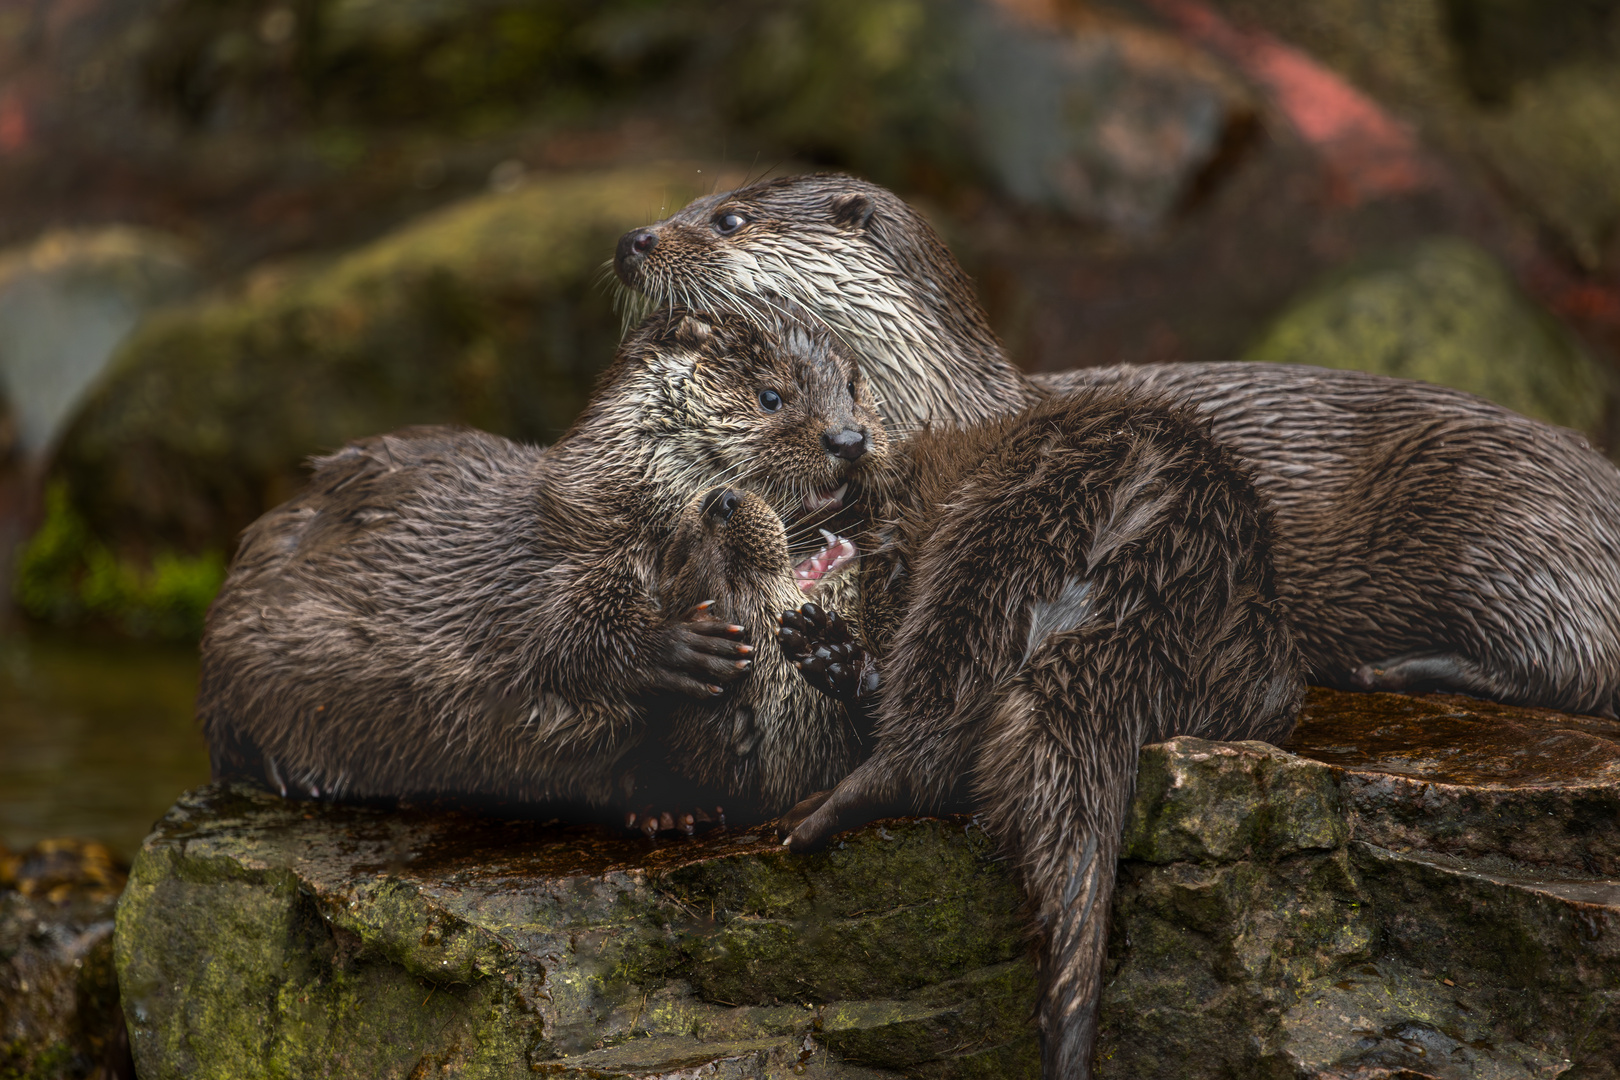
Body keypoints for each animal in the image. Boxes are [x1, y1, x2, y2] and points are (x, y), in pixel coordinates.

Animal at [204, 306, 887, 819]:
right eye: (771, 398)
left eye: (854, 388)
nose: (849, 439)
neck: (624, 505)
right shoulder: (546, 567)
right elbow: (555, 640)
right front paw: (679, 647)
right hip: (239, 647)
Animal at [612, 175, 1620, 718]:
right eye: (694, 199)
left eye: (728, 220)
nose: (632, 238)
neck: (934, 408)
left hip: (1504, 529)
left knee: (1579, 661)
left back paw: (1397, 665)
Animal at [764, 388, 1308, 1080]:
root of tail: (1167, 582)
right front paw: (832, 653)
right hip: (1260, 669)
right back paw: (831, 661)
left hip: (1005, 534)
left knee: (930, 737)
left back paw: (816, 808)